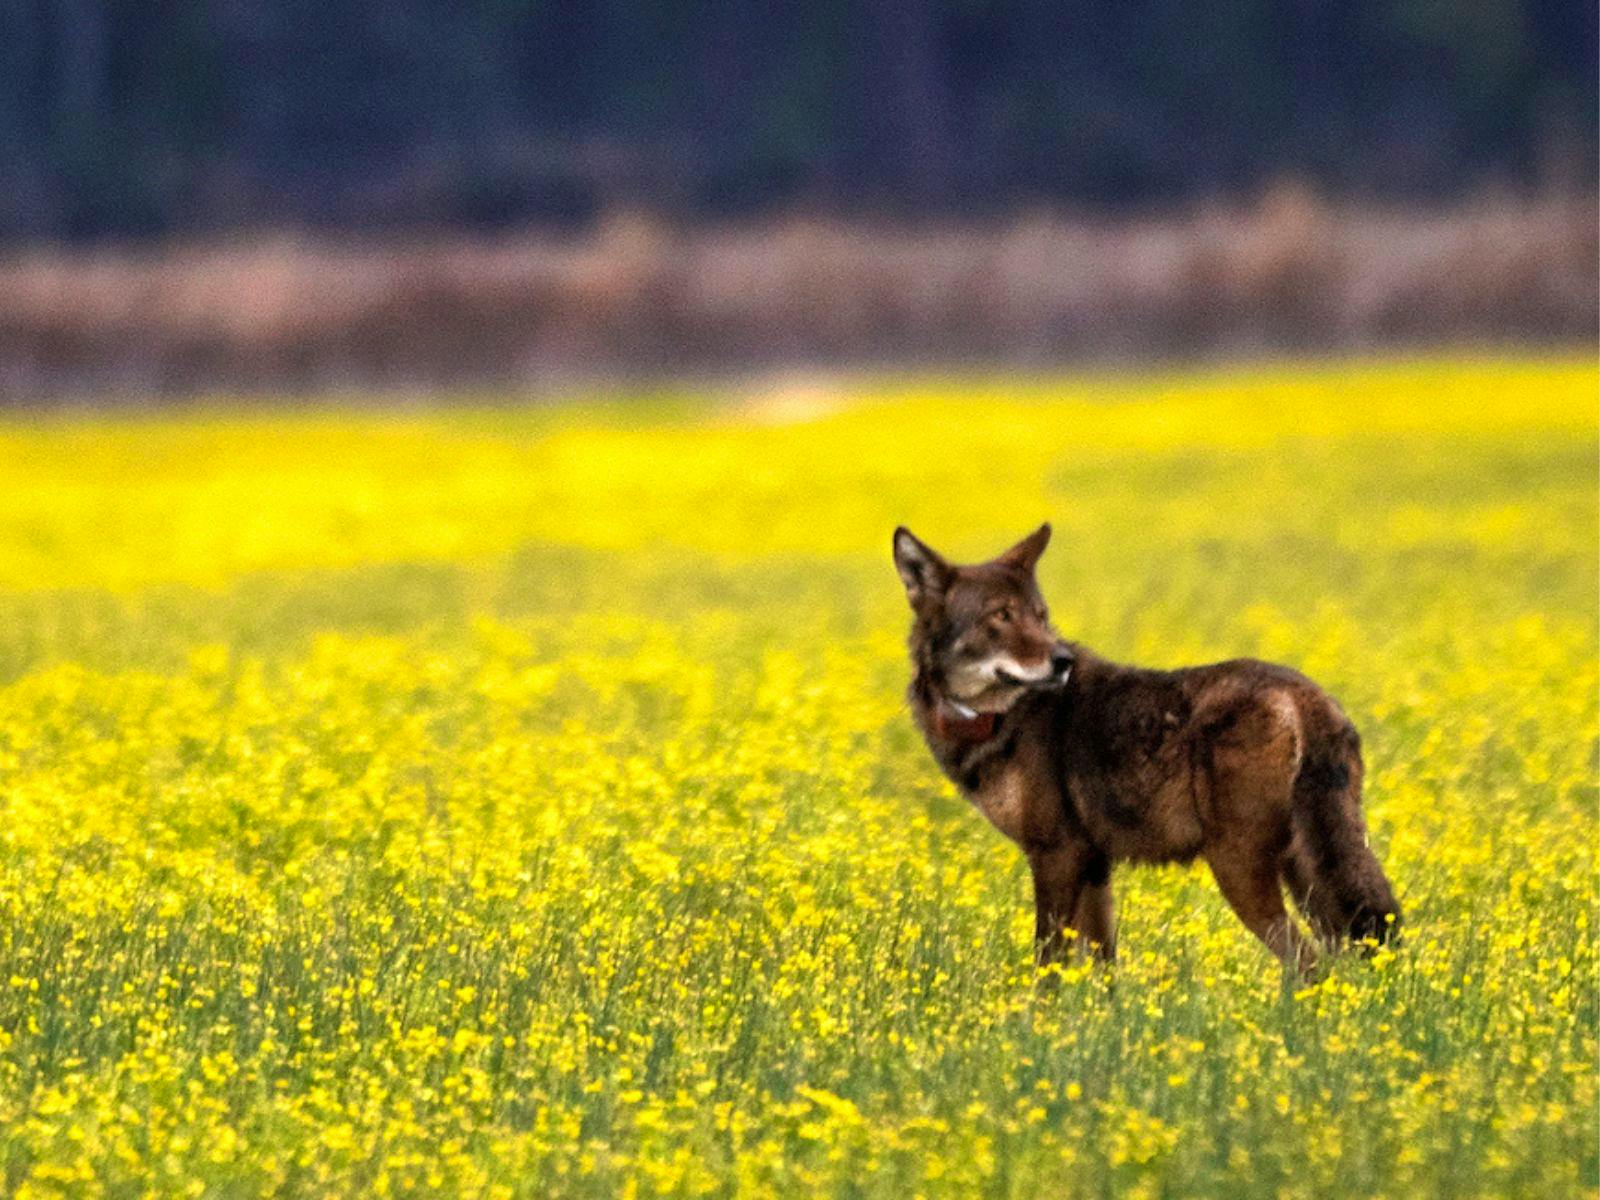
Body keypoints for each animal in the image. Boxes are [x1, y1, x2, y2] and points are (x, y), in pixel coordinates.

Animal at [893, 523, 1400, 971]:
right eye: (1001, 616)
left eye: (1039, 616)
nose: (1062, 661)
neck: (999, 718)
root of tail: (1306, 696)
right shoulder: (1094, 865)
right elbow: (1104, 970)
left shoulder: (1056, 855)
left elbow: (1046, 968)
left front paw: (1034, 1021)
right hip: (1311, 878)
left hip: (1241, 869)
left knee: (1306, 963)